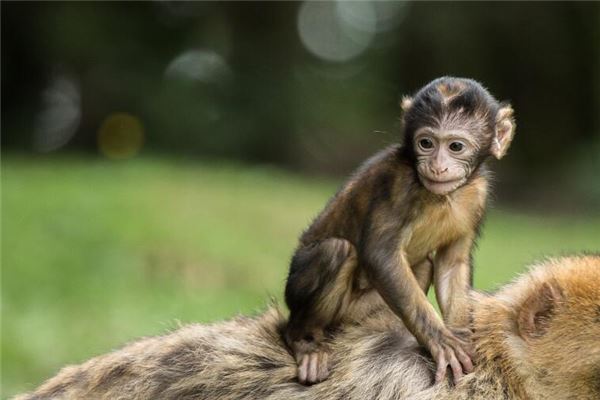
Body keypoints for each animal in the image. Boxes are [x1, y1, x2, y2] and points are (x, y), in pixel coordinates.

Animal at [284, 77, 516, 384]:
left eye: (455, 146)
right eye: (426, 143)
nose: (437, 166)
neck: (442, 196)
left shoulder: (477, 194)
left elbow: (452, 264)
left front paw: (462, 337)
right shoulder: (397, 182)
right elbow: (380, 255)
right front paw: (441, 342)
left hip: (357, 313)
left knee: (424, 265)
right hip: (302, 294)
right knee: (336, 250)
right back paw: (303, 341)